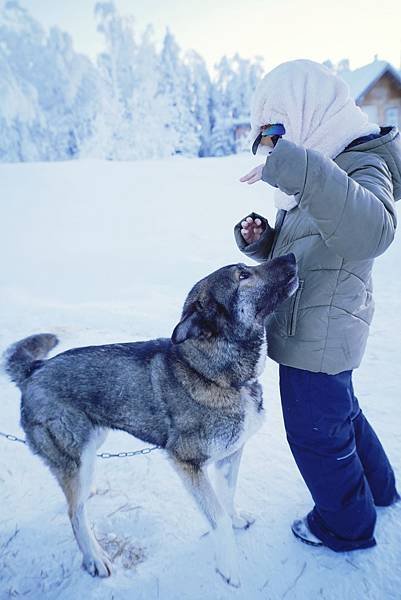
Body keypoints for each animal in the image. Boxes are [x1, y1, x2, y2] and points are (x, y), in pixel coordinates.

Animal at [3, 252, 296, 584]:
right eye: (243, 275)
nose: (291, 256)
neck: (214, 374)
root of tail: (35, 369)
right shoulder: (187, 463)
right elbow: (217, 517)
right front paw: (229, 568)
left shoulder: (230, 454)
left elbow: (227, 496)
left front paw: (236, 521)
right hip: (76, 456)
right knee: (74, 512)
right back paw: (95, 558)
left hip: (91, 445)